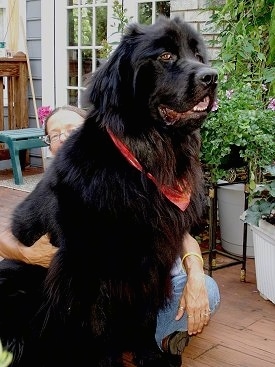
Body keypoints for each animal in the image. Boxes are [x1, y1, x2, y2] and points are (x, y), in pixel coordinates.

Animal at [0, 15, 218, 367]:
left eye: (198, 55)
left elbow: (146, 317)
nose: (211, 76)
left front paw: (149, 356)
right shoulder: (88, 268)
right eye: (166, 56)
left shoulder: (152, 263)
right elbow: (97, 327)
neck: (147, 161)